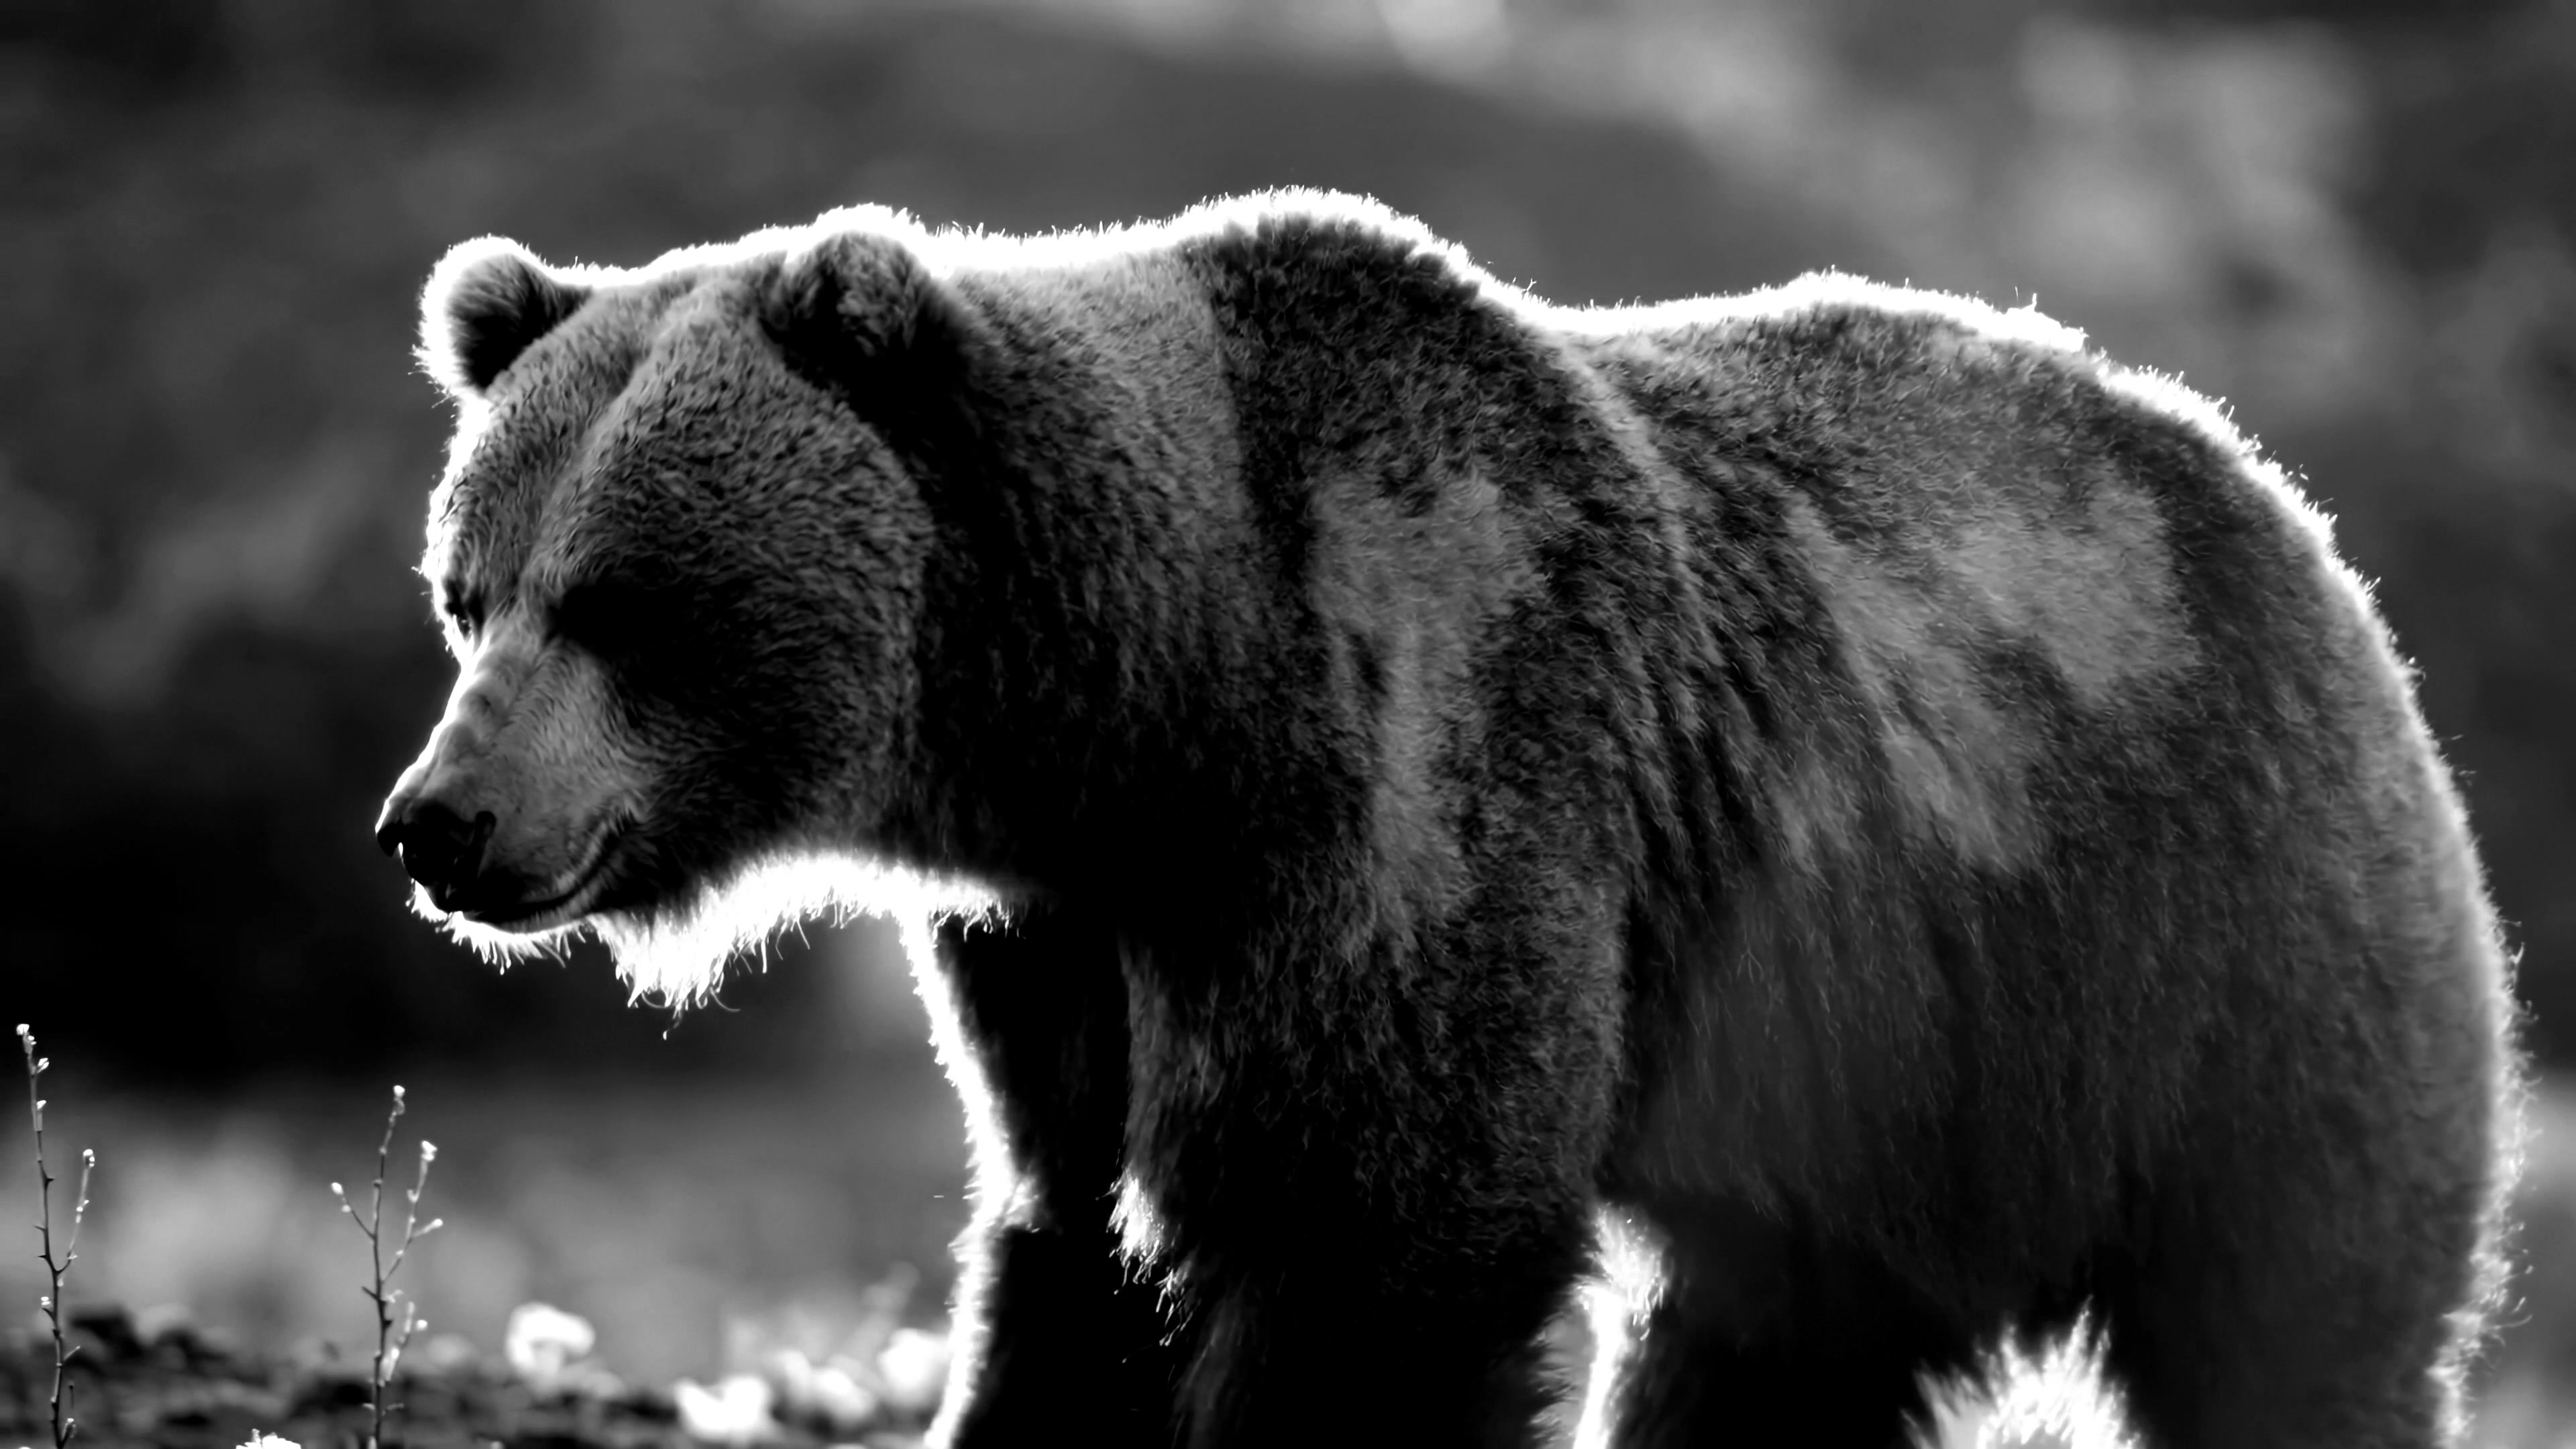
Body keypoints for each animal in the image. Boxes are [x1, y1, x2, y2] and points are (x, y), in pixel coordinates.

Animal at [373, 191, 2520, 1449]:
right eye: (471, 590)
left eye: (626, 599)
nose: (438, 820)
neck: (1149, 706)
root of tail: (2270, 493)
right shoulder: (1067, 934)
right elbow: (1077, 1240)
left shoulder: (1423, 769)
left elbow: (1388, 1235)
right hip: (1877, 1070)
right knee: (1769, 1341)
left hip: (2213, 940)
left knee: (2303, 1309)